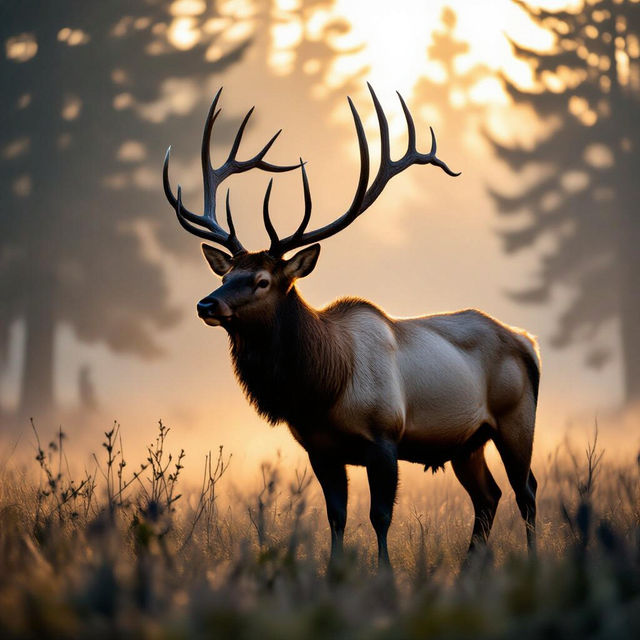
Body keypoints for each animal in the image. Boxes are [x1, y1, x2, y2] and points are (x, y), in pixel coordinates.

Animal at [162, 85, 540, 573]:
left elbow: (379, 516)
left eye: (262, 280)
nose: (206, 303)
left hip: (517, 418)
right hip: (466, 441)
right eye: (227, 275)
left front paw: (385, 575)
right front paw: (334, 573)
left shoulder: (384, 437)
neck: (322, 388)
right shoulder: (319, 449)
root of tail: (527, 342)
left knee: (525, 490)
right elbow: (336, 517)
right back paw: (467, 569)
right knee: (488, 496)